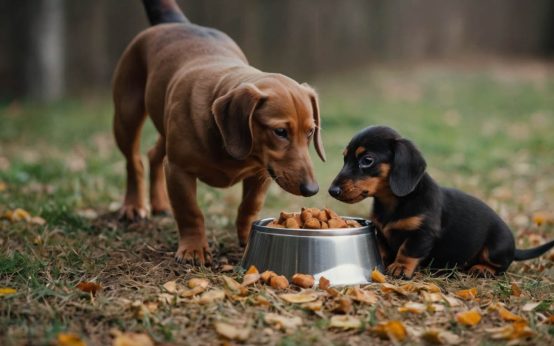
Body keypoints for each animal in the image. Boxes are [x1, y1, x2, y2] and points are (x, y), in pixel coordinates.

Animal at [328, 125, 552, 278]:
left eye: (367, 160)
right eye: (345, 158)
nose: (332, 190)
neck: (393, 203)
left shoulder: (423, 233)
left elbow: (407, 250)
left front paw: (400, 267)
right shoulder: (381, 231)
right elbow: (382, 248)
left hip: (496, 247)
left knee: (501, 265)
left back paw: (482, 269)